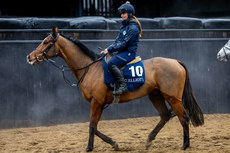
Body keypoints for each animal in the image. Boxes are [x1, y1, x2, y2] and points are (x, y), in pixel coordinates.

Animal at [26, 26, 204, 152]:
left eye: (46, 42)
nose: (29, 57)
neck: (91, 68)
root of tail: (175, 61)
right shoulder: (99, 104)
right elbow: (95, 127)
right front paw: (112, 143)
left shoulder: (96, 102)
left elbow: (92, 126)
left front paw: (91, 147)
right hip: (155, 95)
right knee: (165, 115)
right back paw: (149, 141)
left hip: (172, 97)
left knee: (183, 117)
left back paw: (185, 145)